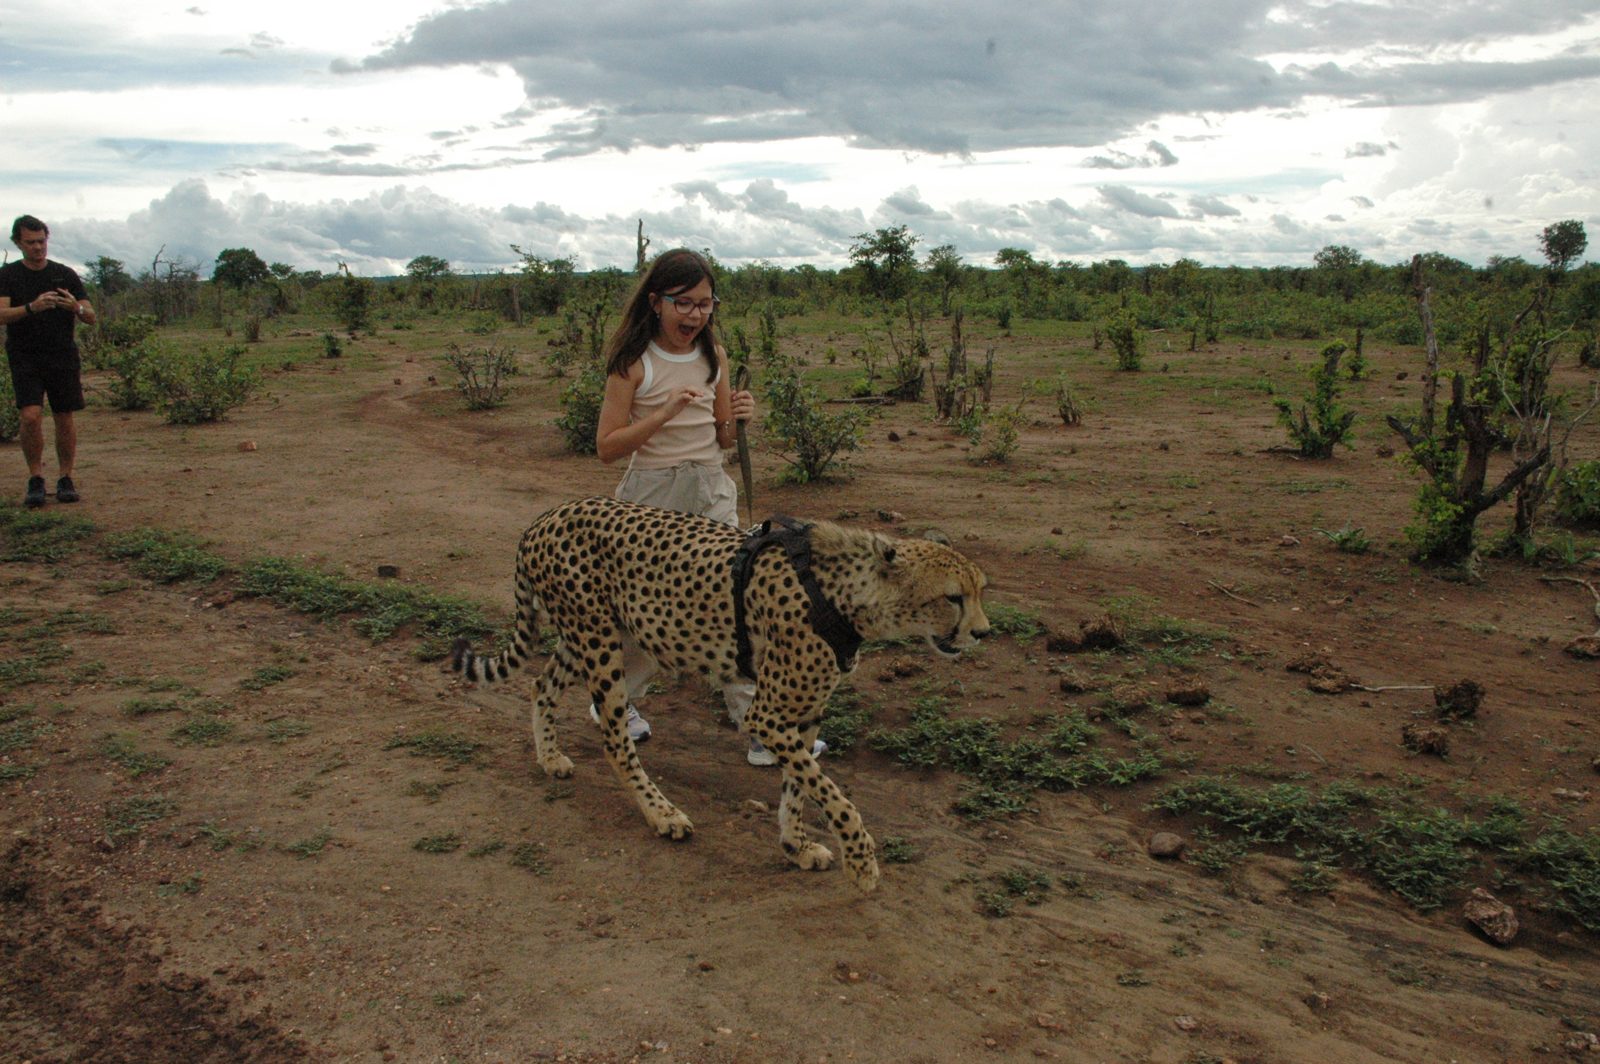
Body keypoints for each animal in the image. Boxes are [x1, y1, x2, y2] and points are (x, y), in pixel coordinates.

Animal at [450, 496, 991, 891]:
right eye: (952, 597)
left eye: (980, 591)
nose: (983, 633)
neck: (848, 594)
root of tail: (548, 515)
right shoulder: (768, 715)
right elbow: (835, 796)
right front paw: (860, 862)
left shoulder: (805, 713)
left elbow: (800, 787)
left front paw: (795, 846)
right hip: (599, 641)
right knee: (613, 738)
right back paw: (662, 813)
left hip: (625, 641)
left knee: (541, 684)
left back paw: (549, 757)